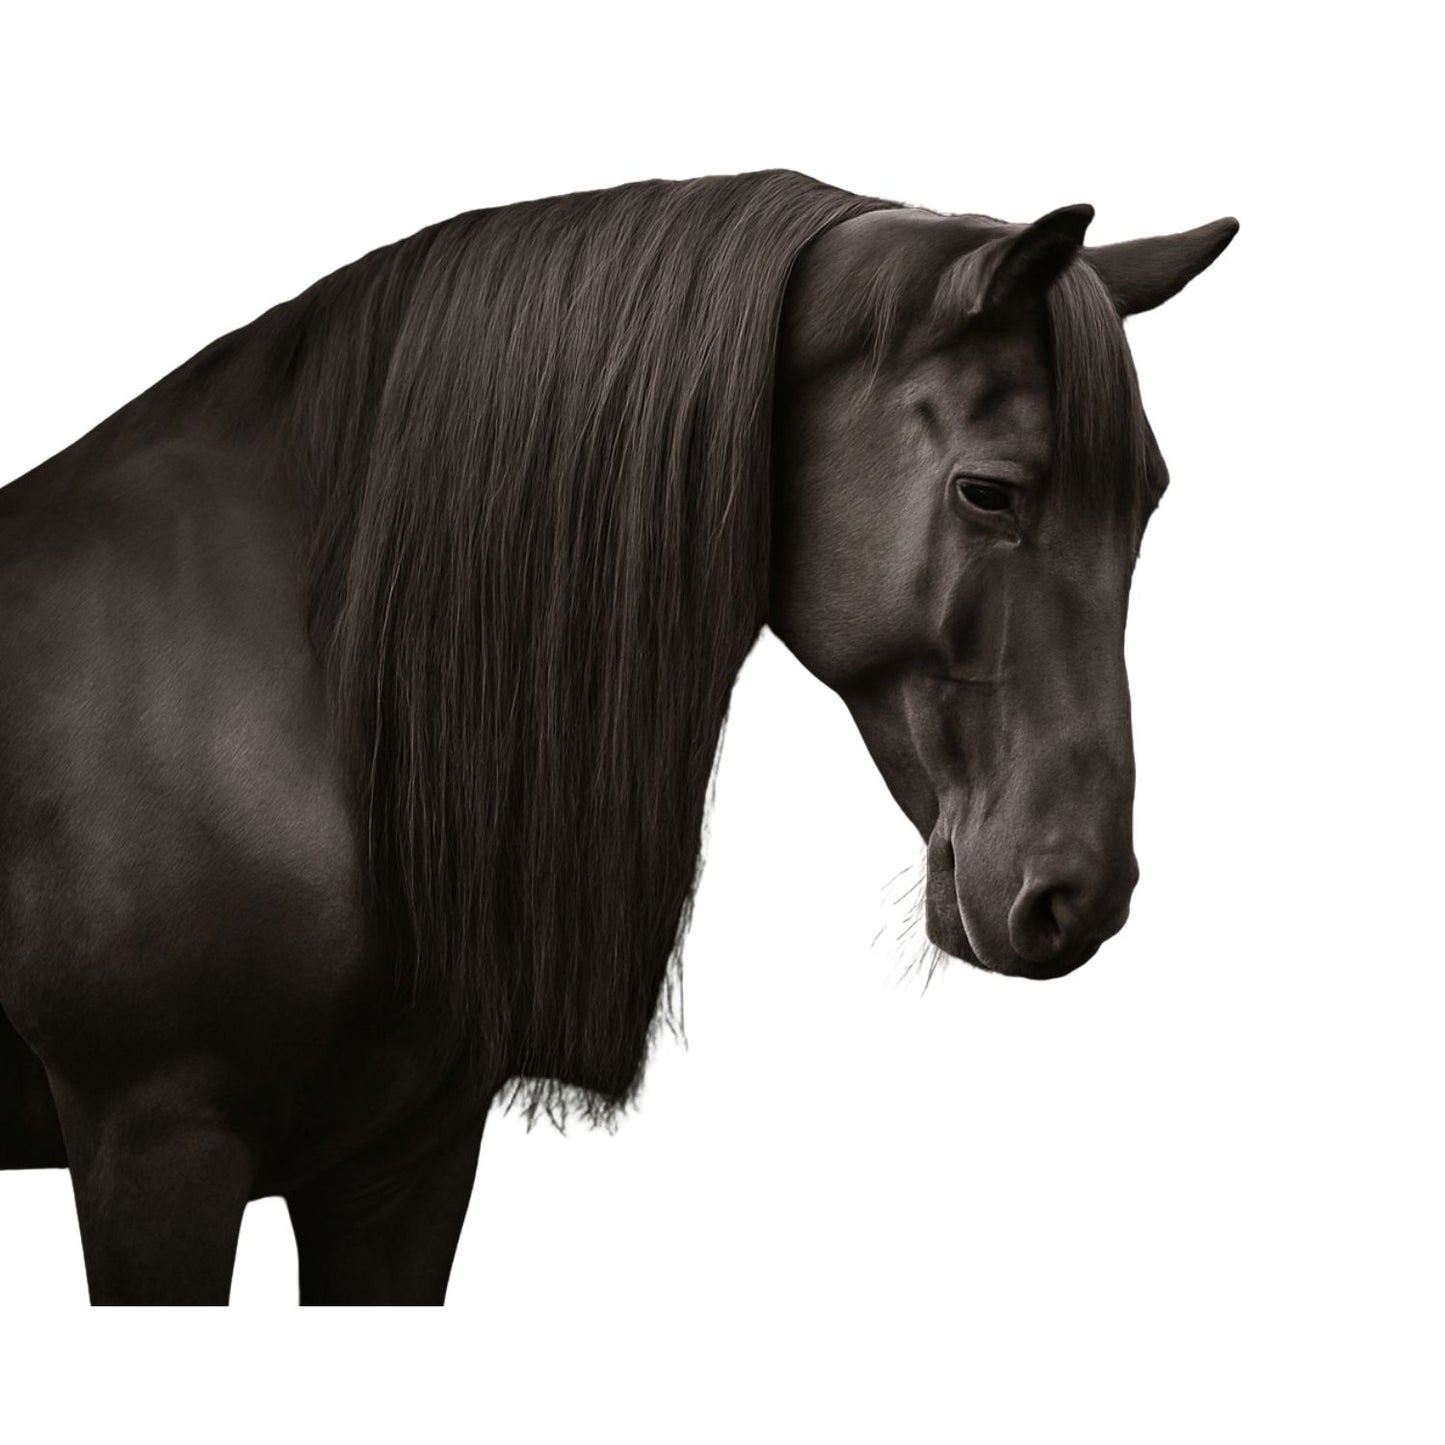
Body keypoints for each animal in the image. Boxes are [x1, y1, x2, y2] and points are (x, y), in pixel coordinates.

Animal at [0, 170, 1237, 1304]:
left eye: (1145, 501)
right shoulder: (156, 1140)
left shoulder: (402, 1167)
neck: (298, 678)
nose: (1081, 891)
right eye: (988, 492)